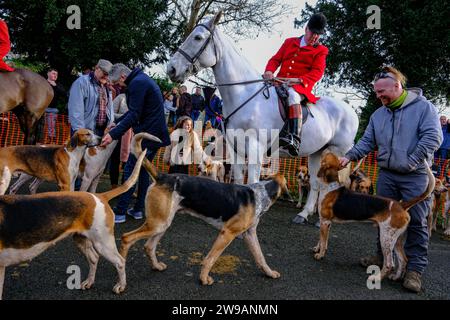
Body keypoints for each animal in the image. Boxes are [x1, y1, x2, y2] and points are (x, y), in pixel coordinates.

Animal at [165, 11, 358, 222]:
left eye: (198, 38)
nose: (171, 69)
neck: (245, 94)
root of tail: (352, 111)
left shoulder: (255, 149)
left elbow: (253, 183)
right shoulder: (235, 148)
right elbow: (239, 181)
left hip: (335, 154)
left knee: (333, 185)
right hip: (316, 153)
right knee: (316, 184)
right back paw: (304, 214)